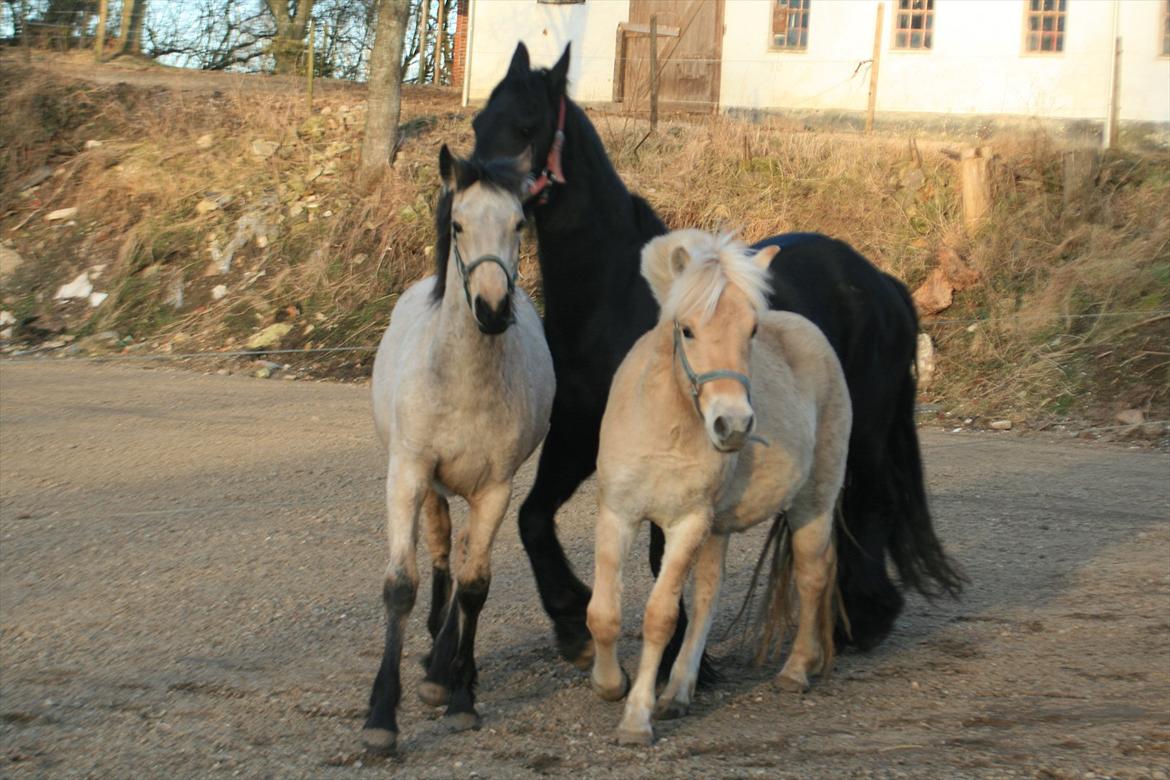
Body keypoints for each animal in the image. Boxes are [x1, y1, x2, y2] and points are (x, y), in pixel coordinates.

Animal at [362, 146, 554, 757]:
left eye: (518, 224)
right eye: (458, 226)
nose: (492, 309)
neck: (465, 382)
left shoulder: (495, 489)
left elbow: (474, 588)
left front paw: (462, 698)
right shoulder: (408, 475)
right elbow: (401, 585)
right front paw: (381, 716)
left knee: (464, 552)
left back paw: (445, 670)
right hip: (430, 485)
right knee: (443, 546)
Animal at [465, 42, 959, 673]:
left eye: (527, 126)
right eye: (480, 122)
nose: (473, 206)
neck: (614, 297)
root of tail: (880, 282)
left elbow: (661, 555)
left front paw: (682, 659)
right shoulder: (577, 435)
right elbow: (532, 519)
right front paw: (573, 623)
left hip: (865, 432)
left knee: (867, 507)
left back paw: (864, 622)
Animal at [585, 230, 851, 743]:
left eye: (751, 331)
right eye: (687, 330)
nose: (734, 425)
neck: (666, 427)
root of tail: (814, 334)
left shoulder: (688, 523)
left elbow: (660, 617)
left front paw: (635, 718)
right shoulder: (618, 514)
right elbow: (604, 613)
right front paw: (610, 685)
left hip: (812, 503)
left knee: (813, 575)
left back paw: (796, 670)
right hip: (720, 528)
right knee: (709, 594)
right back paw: (678, 692)